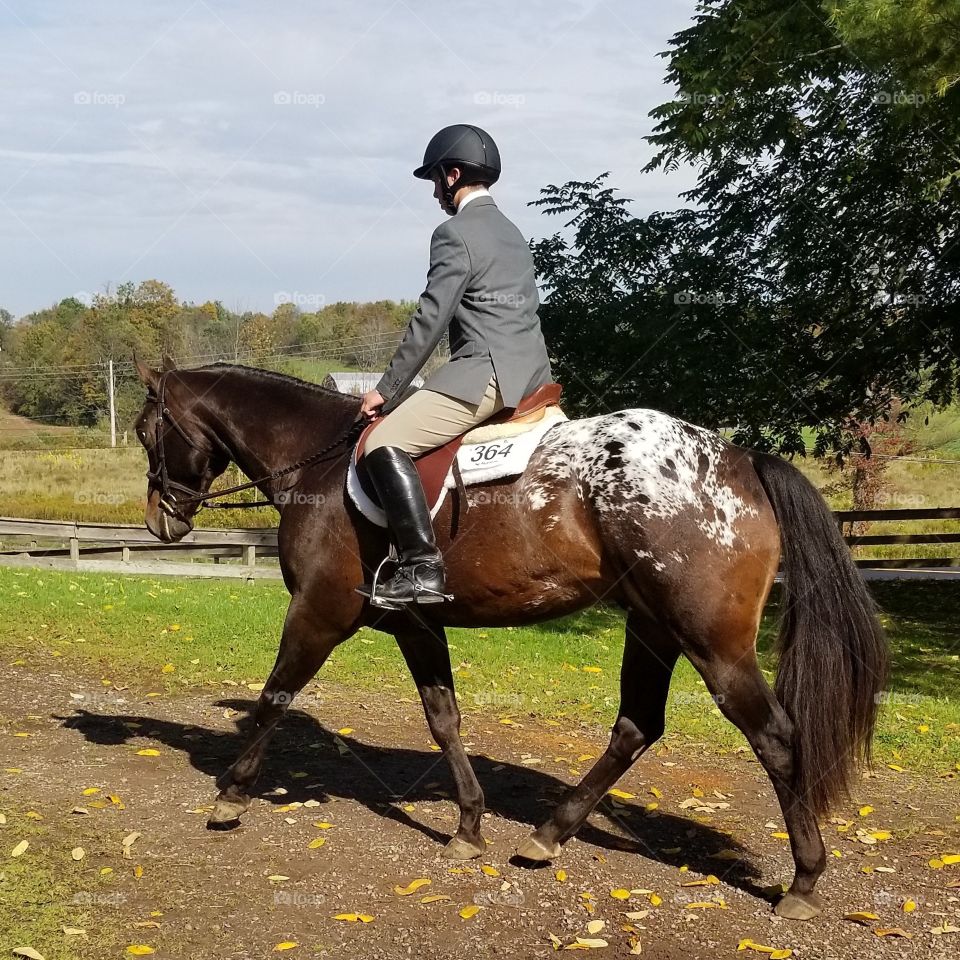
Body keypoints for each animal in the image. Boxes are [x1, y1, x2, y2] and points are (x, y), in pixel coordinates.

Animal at [133, 356, 884, 920]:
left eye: (145, 431)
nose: (161, 522)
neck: (318, 466)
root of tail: (741, 460)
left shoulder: (318, 613)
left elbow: (275, 696)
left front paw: (231, 796)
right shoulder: (415, 622)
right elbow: (444, 718)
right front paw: (468, 826)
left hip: (713, 643)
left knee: (774, 737)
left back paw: (803, 883)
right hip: (651, 627)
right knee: (636, 726)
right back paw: (547, 835)